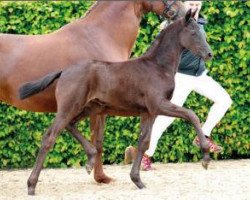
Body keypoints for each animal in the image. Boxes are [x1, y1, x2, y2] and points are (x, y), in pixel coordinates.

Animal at [19, 9, 212, 194]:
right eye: (193, 32)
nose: (209, 54)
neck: (157, 67)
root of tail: (64, 71)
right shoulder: (158, 104)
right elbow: (191, 115)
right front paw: (205, 156)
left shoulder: (149, 112)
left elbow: (143, 142)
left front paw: (137, 180)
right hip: (70, 107)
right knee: (50, 137)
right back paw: (31, 185)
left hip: (87, 108)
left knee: (70, 125)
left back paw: (90, 159)